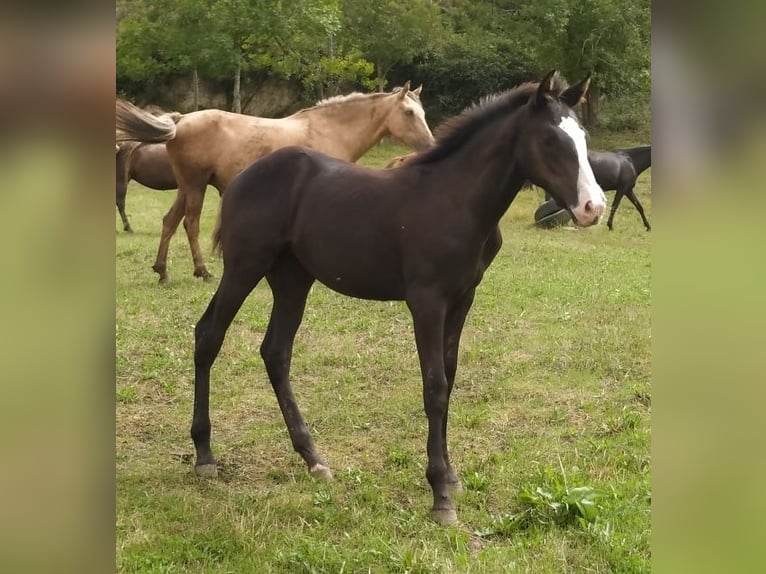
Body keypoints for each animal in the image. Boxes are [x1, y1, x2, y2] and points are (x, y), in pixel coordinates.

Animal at [116, 83, 436, 284]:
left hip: (185, 188)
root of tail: (180, 120)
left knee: (170, 222)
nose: (430, 145)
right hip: (195, 187)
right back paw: (202, 271)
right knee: (190, 225)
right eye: (409, 112)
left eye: (422, 112)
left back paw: (162, 271)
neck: (329, 130)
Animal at [188, 71, 608, 528]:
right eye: (550, 139)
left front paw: (451, 476)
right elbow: (434, 386)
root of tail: (243, 178)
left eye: (583, 137)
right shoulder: (426, 300)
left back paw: (313, 459)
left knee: (276, 352)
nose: (594, 207)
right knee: (209, 335)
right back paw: (205, 455)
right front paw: (441, 495)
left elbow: (450, 378)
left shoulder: (462, 299)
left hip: (292, 279)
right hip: (245, 266)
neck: (456, 198)